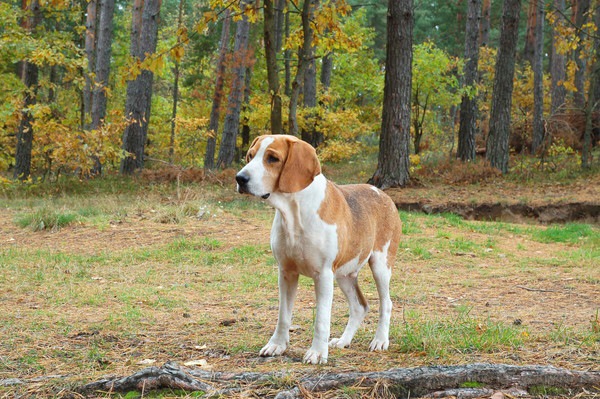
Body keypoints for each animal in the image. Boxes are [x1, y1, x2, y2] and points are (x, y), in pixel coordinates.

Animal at [237, 135, 400, 366]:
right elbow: (283, 316)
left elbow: (321, 319)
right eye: (250, 156)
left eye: (272, 158)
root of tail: (381, 193)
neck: (294, 212)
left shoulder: (322, 275)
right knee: (359, 306)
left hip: (380, 266)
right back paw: (343, 341)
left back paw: (380, 340)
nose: (240, 178)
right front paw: (277, 345)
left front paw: (317, 353)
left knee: (386, 304)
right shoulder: (286, 273)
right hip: (344, 274)